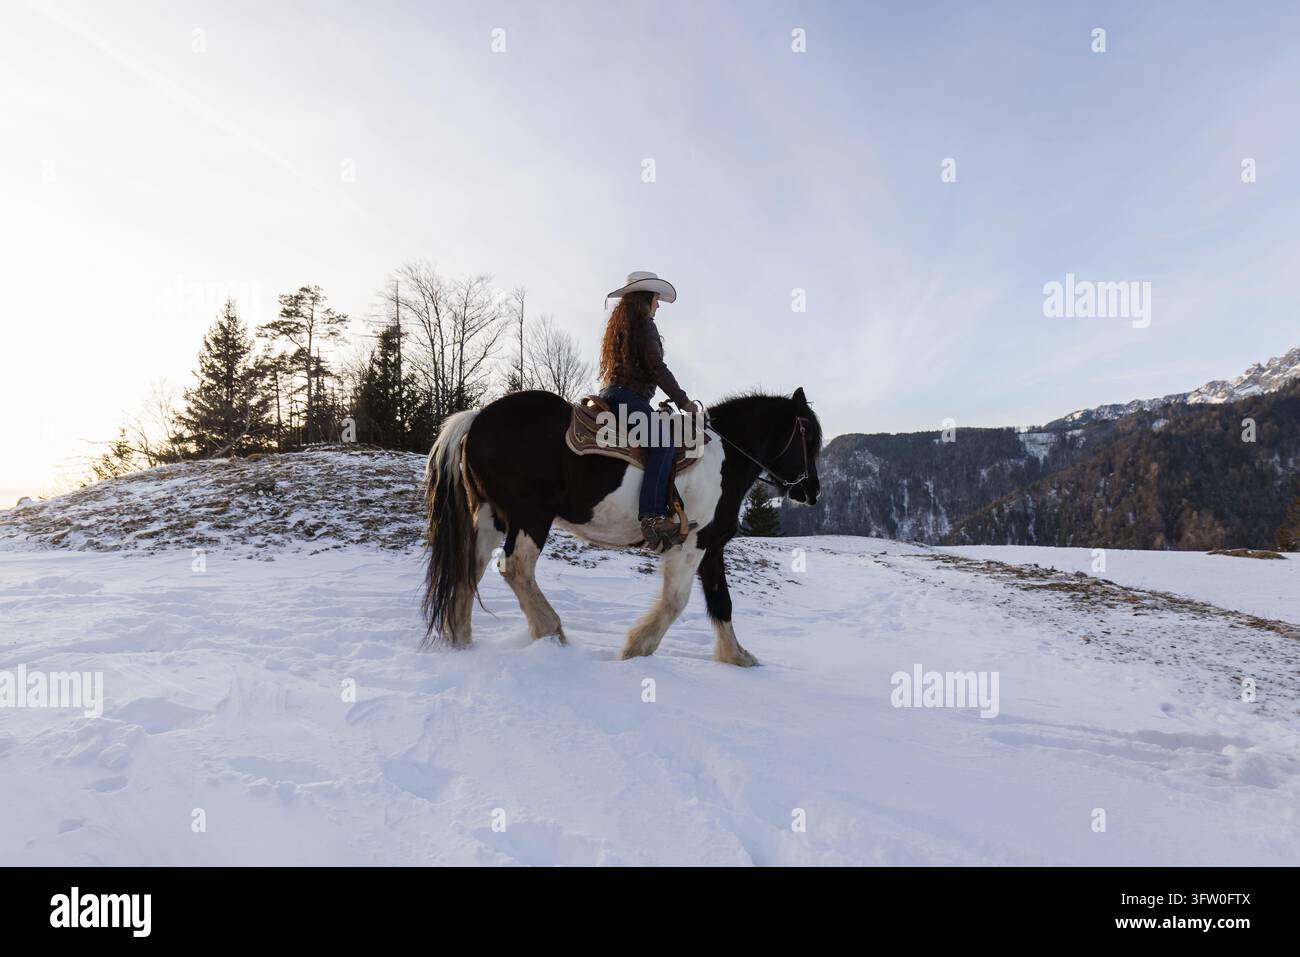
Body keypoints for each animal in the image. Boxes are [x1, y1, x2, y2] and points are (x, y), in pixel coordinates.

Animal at [420, 387, 822, 666]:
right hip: (530, 516)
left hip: (492, 517)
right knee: (515, 567)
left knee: (468, 569)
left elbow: (721, 601)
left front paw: (736, 656)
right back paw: (551, 630)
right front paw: (636, 648)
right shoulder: (692, 544)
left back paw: (461, 639)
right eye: (809, 438)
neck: (724, 460)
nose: (813, 491)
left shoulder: (711, 548)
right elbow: (676, 601)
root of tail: (477, 417)